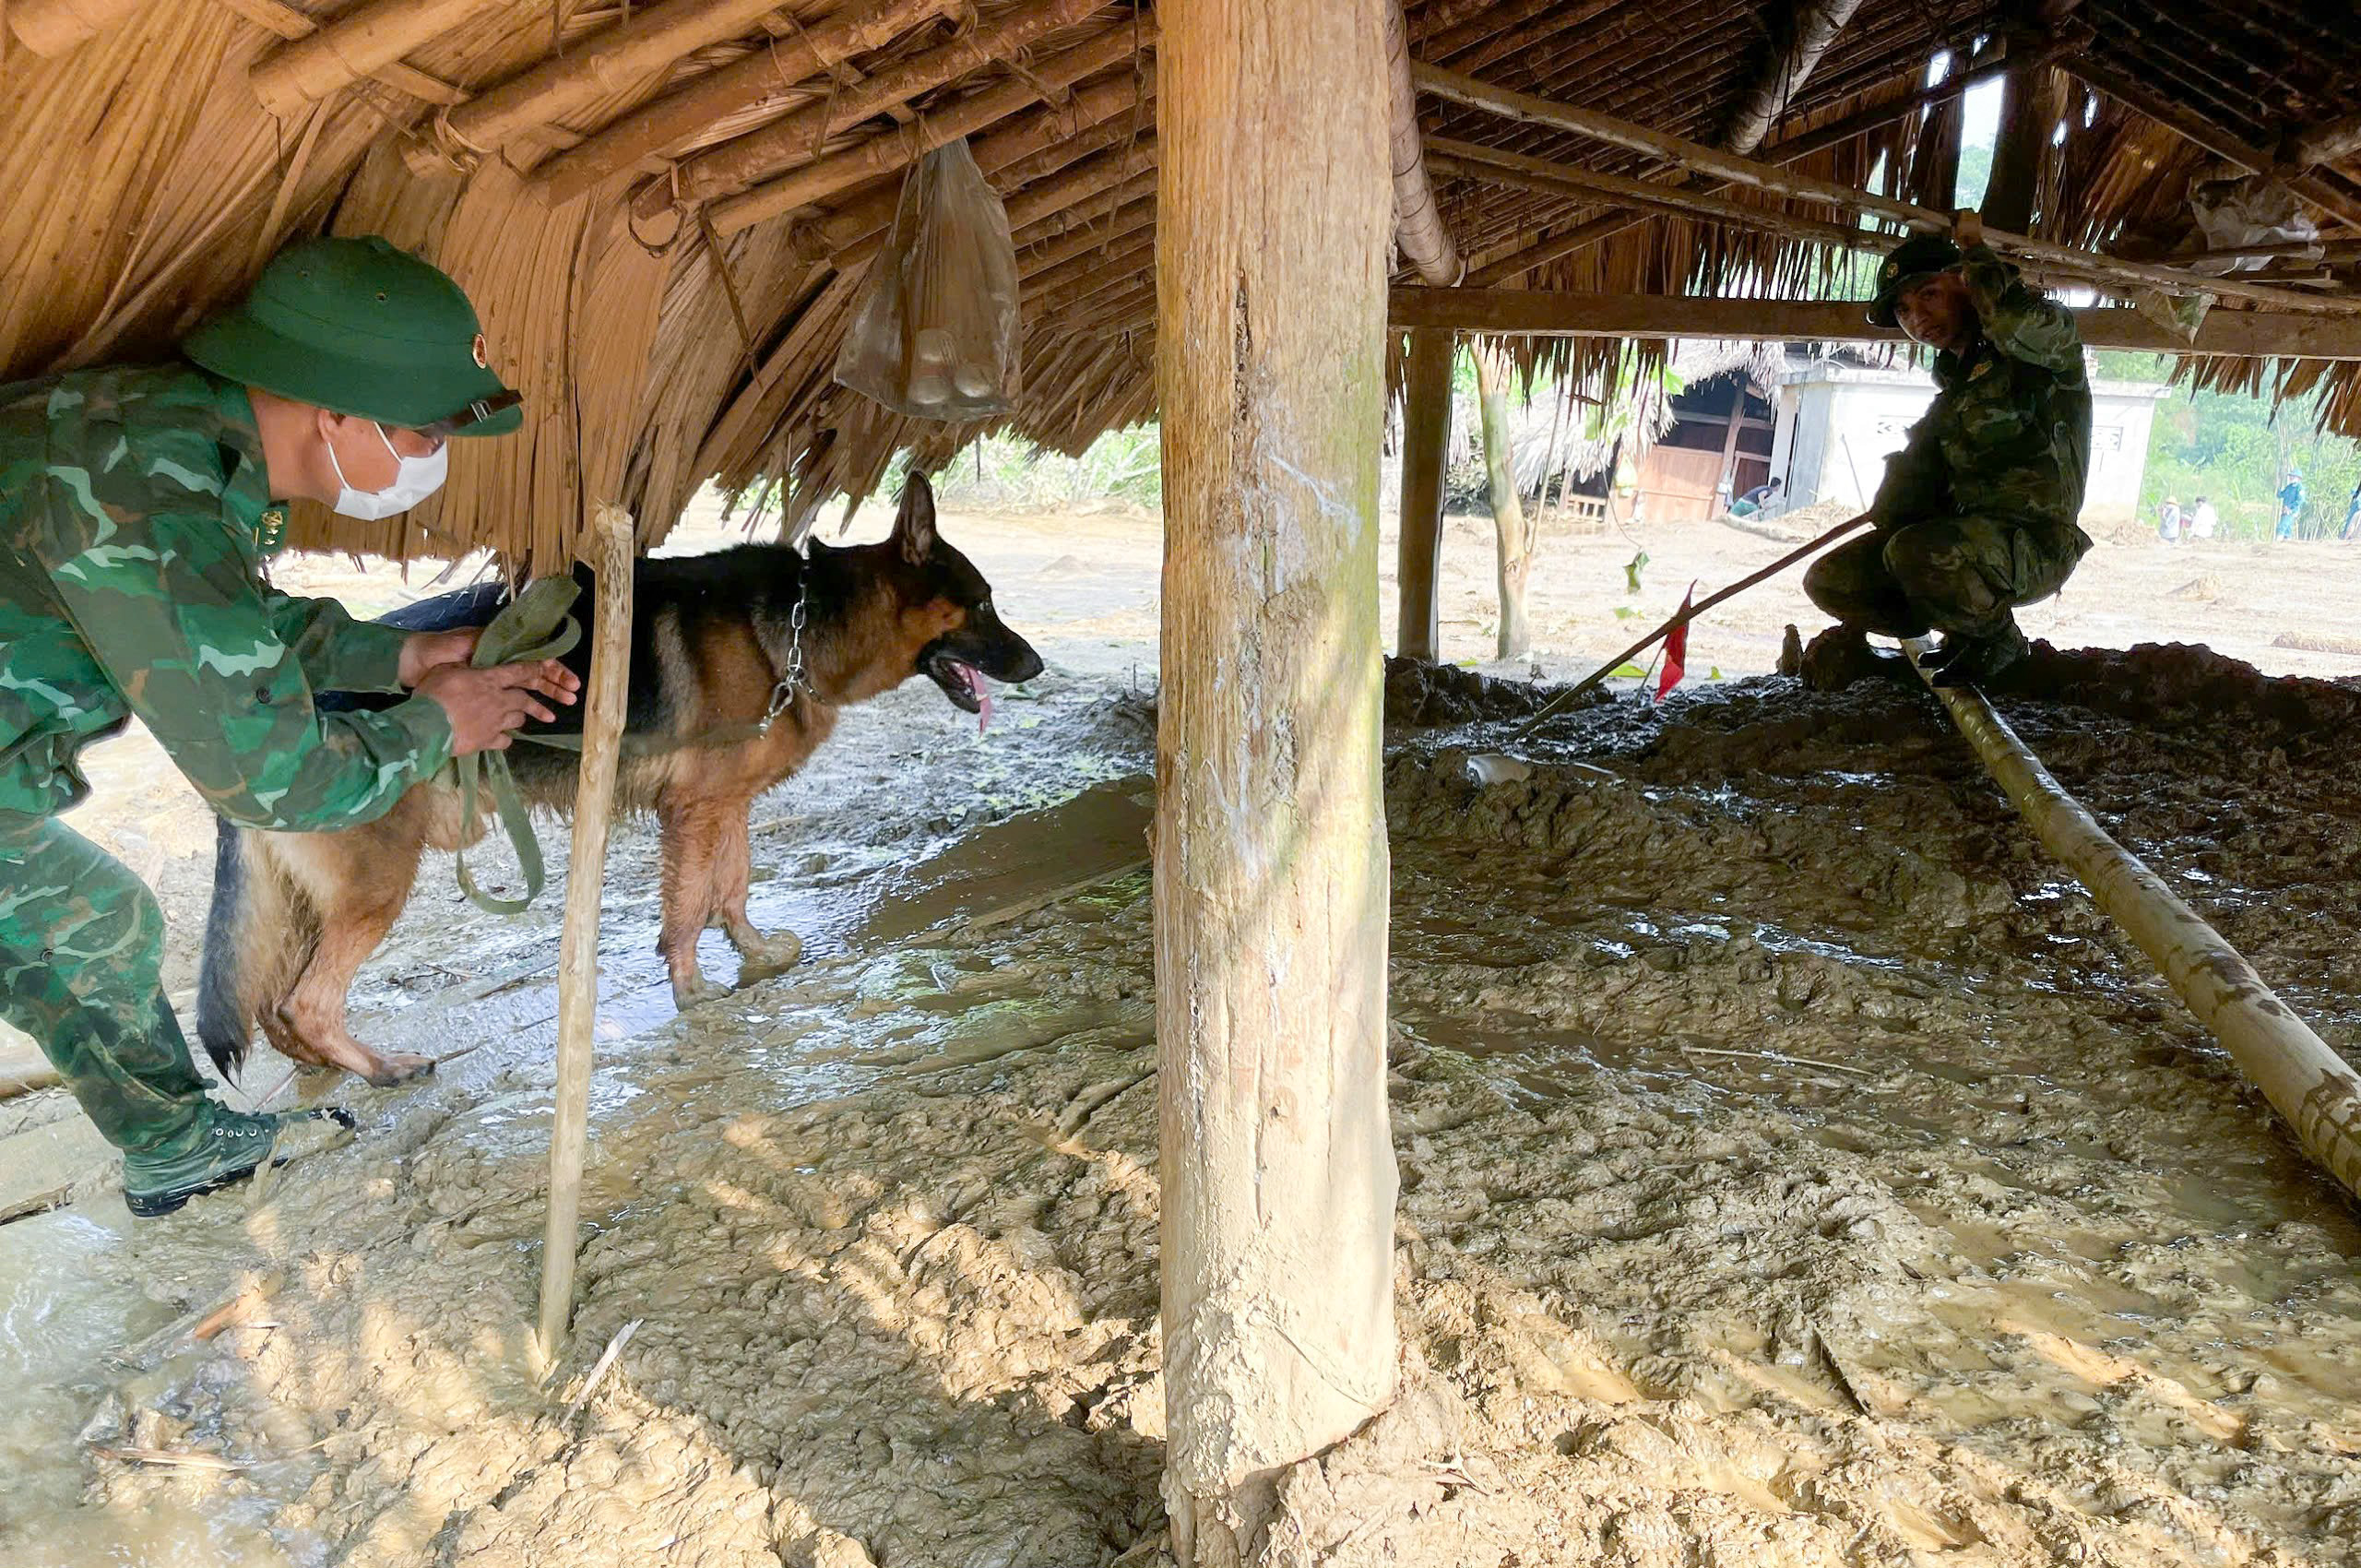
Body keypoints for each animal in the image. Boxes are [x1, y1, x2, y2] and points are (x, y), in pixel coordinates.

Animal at [198, 477, 1048, 1090]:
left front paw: (754, 952)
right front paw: (692, 989)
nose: (1036, 665)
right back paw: (379, 1068)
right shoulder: (694, 811)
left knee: (274, 1008)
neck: (807, 624)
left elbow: (733, 886)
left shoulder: (724, 804)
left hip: (311, 900)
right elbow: (688, 906)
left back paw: (323, 1071)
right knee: (306, 1002)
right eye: (983, 604)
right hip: (376, 884)